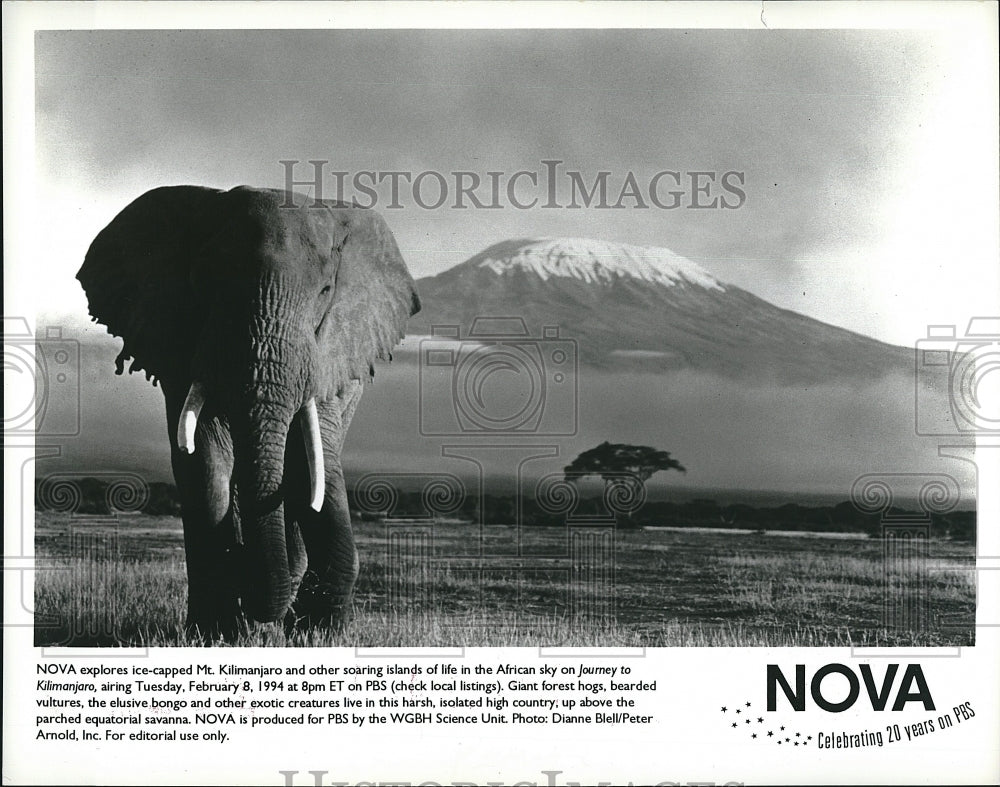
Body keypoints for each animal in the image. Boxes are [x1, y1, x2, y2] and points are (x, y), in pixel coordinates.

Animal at [77, 185, 418, 640]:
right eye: (202, 284)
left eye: (326, 290)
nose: (245, 569)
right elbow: (205, 456)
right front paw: (215, 634)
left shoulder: (332, 351)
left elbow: (310, 460)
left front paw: (319, 637)